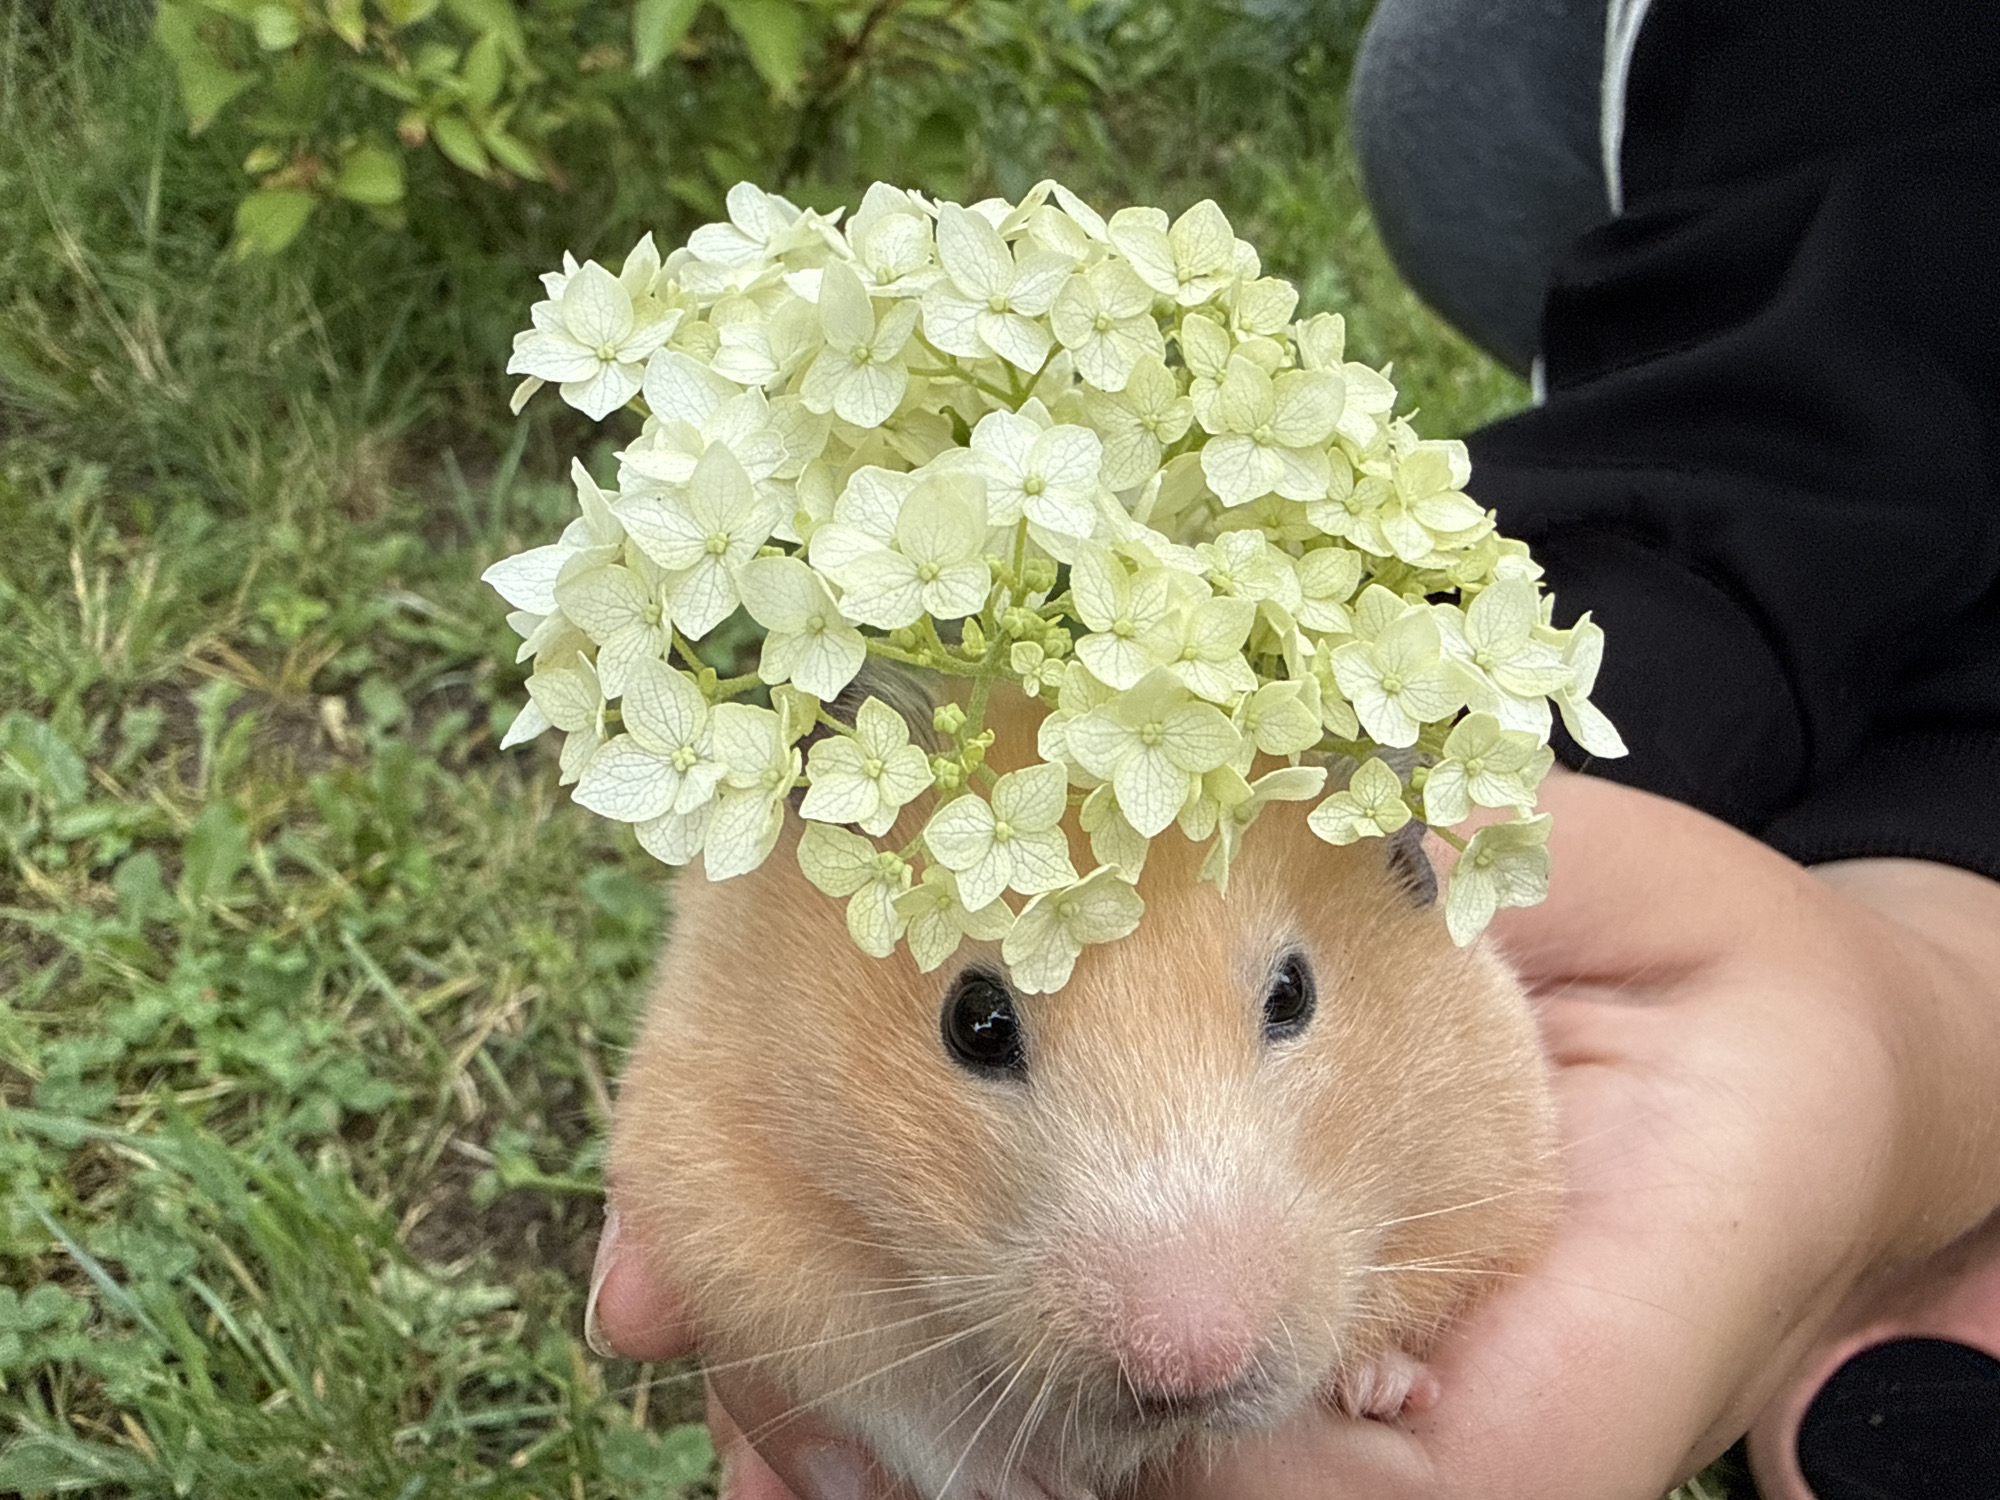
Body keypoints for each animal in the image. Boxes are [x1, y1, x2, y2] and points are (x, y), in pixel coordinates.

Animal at [608, 693, 1558, 1500]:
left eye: (1293, 993)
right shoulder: (737, 1218)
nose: (1189, 1368)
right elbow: (897, 1404)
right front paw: (1024, 1484)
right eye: (977, 1022)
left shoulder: (1491, 1141)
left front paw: (1385, 1387)